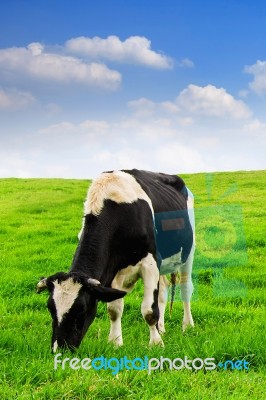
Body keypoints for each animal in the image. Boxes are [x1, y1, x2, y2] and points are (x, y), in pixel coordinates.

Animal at [37, 170, 195, 352]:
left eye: (82, 309)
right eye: (50, 308)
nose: (60, 349)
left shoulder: (150, 263)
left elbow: (149, 310)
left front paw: (156, 343)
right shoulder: (113, 270)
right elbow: (114, 309)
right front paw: (115, 342)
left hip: (188, 251)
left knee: (185, 289)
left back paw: (187, 326)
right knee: (163, 291)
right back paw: (161, 328)